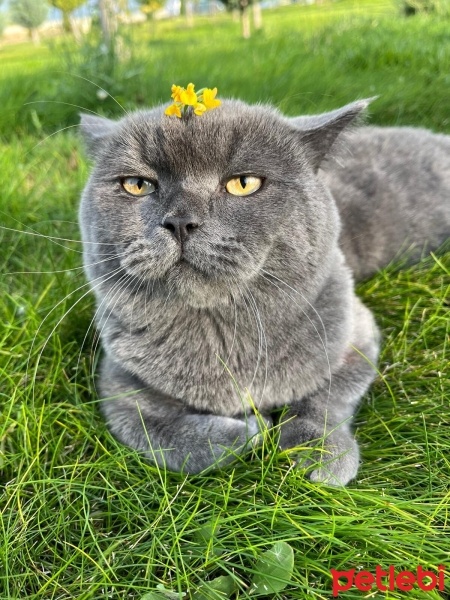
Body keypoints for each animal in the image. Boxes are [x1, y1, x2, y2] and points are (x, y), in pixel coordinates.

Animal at [78, 96, 450, 486]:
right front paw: (245, 432)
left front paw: (318, 452)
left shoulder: (356, 331)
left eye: (244, 184)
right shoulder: (117, 378)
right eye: (137, 185)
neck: (220, 335)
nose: (180, 221)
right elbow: (147, 428)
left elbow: (328, 396)